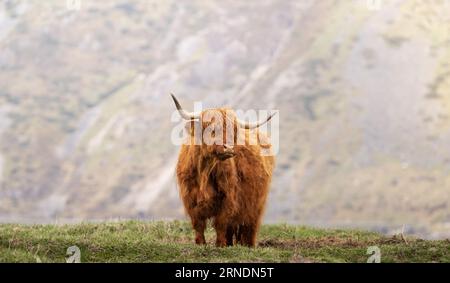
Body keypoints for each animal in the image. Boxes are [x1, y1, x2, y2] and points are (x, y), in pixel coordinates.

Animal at [171, 94, 274, 247]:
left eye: (234, 132)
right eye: (212, 129)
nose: (229, 148)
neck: (205, 170)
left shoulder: (228, 197)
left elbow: (221, 223)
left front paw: (220, 245)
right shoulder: (189, 198)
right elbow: (198, 223)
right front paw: (201, 243)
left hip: (256, 204)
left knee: (249, 226)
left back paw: (248, 245)